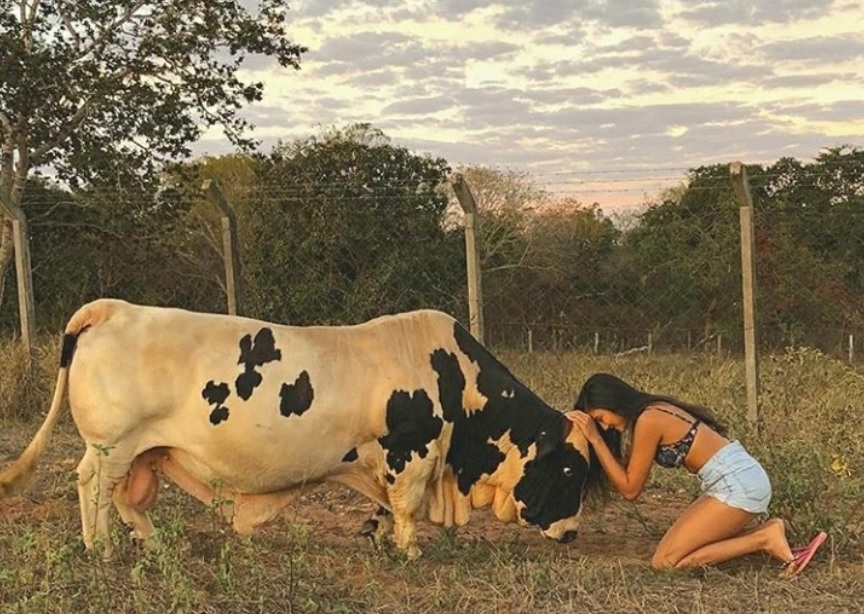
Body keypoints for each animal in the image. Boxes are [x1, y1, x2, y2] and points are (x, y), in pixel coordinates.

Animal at [0, 300, 600, 560]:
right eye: (572, 469)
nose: (574, 534)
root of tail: (111, 308)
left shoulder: (383, 461)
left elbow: (383, 505)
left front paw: (379, 536)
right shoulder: (413, 454)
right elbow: (406, 507)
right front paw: (409, 550)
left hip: (143, 450)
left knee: (126, 497)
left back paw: (150, 541)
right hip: (112, 445)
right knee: (93, 486)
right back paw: (99, 547)